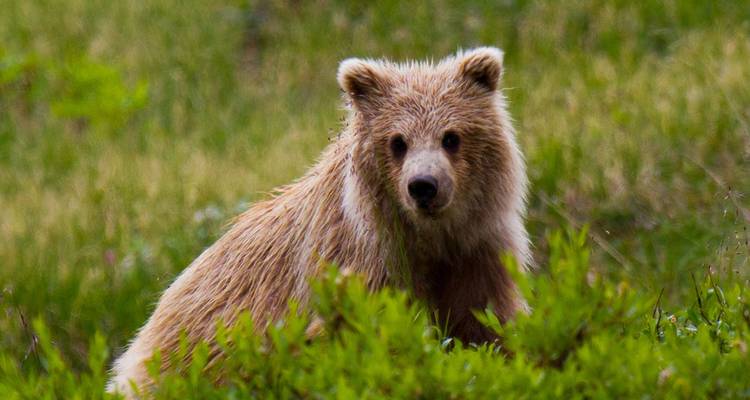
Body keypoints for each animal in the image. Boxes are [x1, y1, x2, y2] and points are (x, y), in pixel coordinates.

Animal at [108, 47, 530, 396]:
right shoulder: (359, 267)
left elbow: (486, 324)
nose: (423, 186)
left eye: (451, 136)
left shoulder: (476, 255)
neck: (429, 239)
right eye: (397, 141)